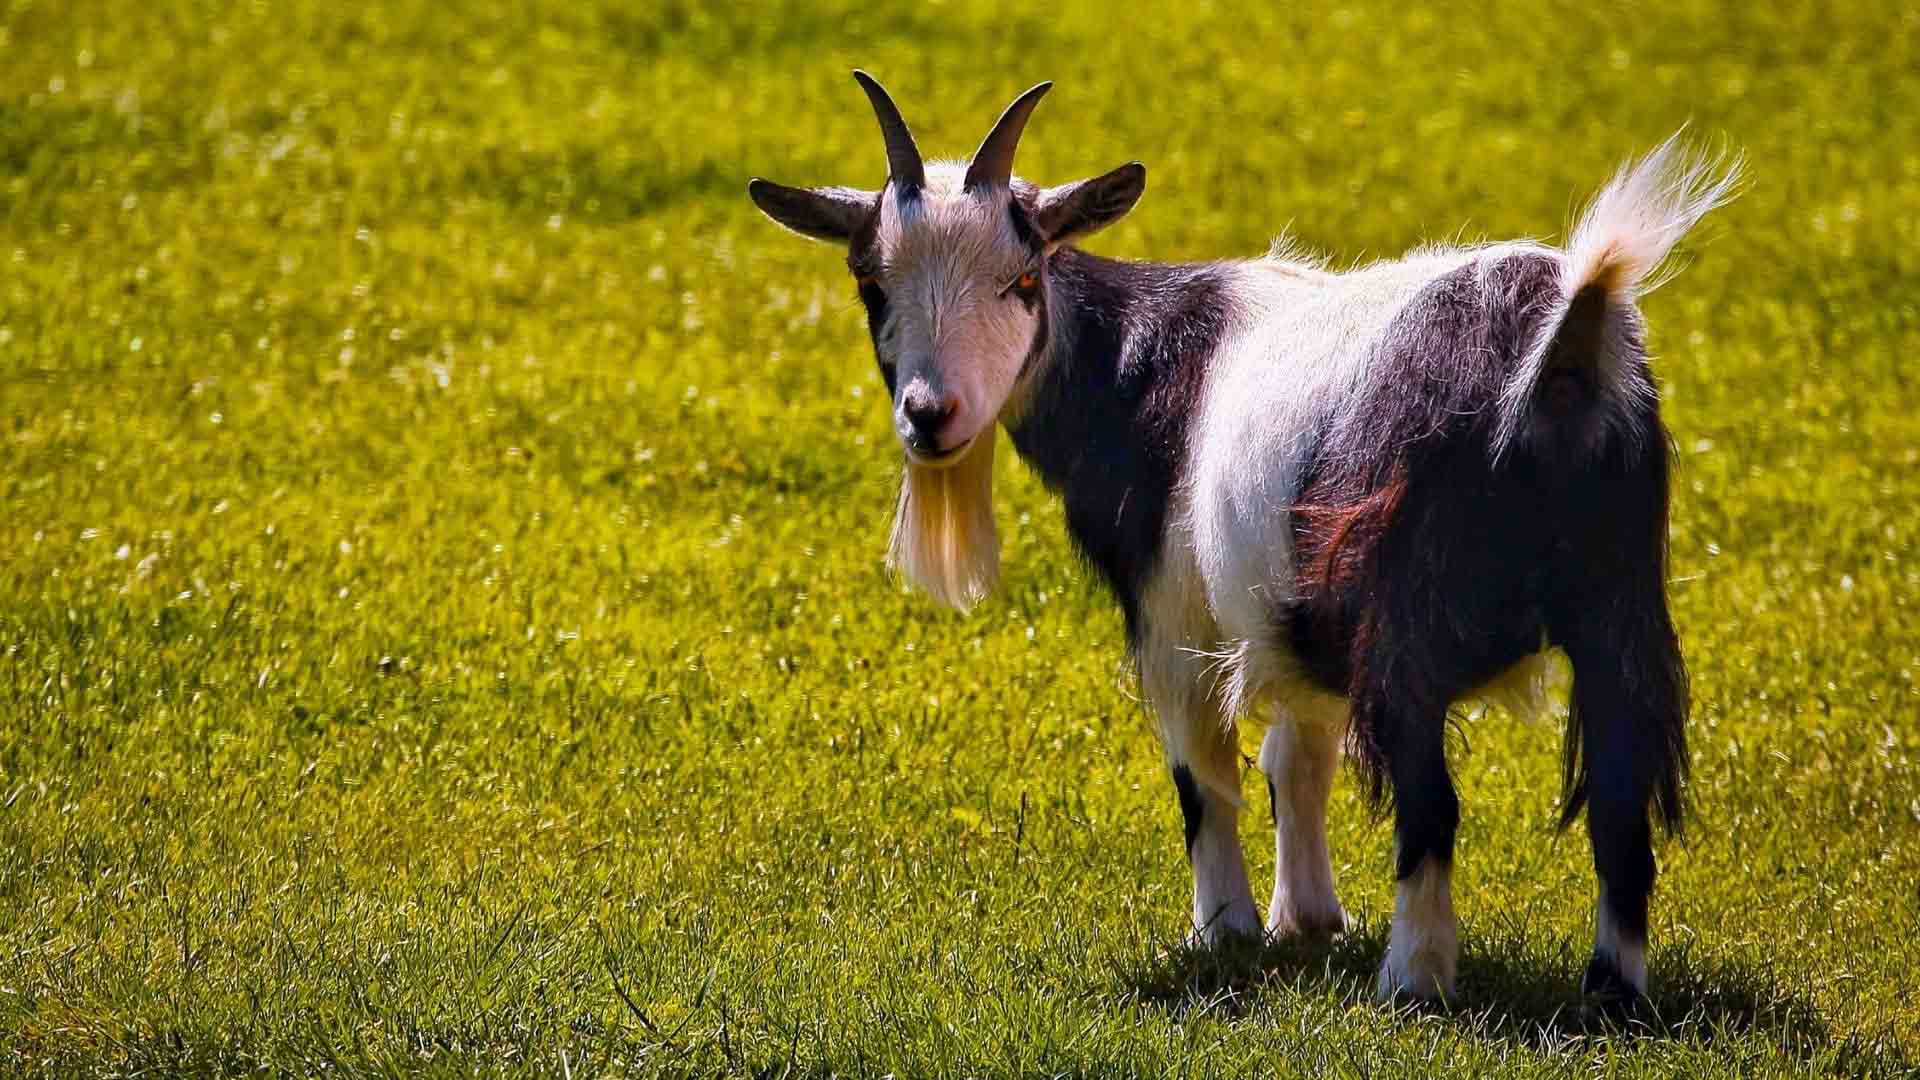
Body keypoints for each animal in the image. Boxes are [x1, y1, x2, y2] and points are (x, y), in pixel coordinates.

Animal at [748, 72, 1739, 1003]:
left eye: (1023, 280)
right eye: (871, 282)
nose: (931, 416)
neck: (1138, 365)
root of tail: (1562, 346)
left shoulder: (1171, 610)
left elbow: (1203, 771)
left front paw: (1220, 930)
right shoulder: (1288, 610)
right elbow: (1297, 759)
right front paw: (1307, 919)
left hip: (1408, 621)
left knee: (1431, 802)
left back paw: (1413, 979)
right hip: (1620, 604)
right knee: (1621, 797)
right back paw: (1612, 989)